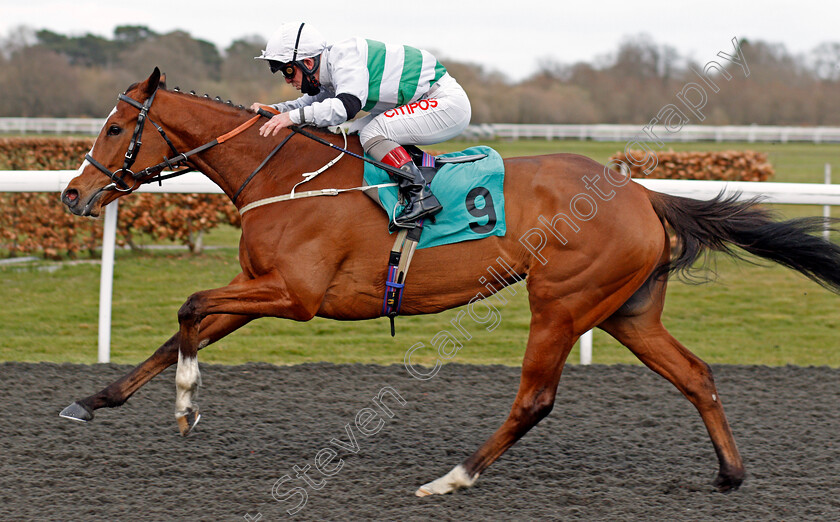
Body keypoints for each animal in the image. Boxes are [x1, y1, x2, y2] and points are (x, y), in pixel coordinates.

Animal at [59, 67, 840, 494]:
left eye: (113, 129)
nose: (72, 195)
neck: (283, 176)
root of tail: (642, 193)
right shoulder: (260, 285)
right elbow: (181, 329)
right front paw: (93, 401)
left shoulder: (296, 295)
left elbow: (188, 307)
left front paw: (187, 406)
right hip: (627, 312)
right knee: (696, 374)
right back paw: (730, 474)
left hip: (561, 302)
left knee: (536, 400)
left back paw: (452, 477)